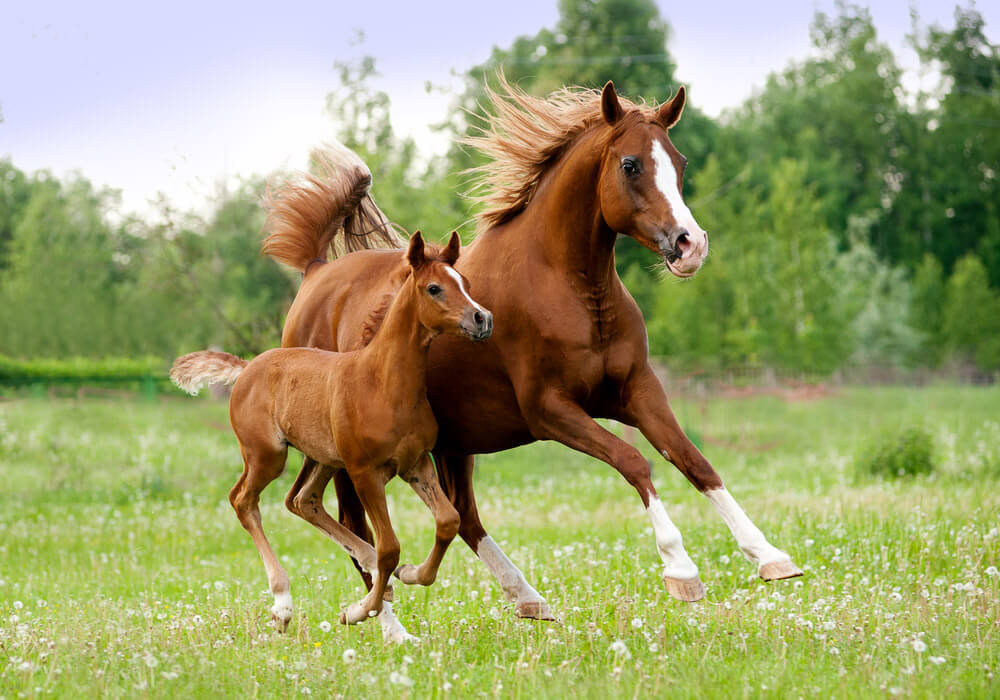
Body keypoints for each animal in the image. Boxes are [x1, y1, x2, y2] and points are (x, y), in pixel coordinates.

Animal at [172, 232, 492, 632]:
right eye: (434, 288)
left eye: (465, 283)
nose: (482, 318)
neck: (383, 383)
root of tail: (247, 368)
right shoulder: (364, 472)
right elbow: (390, 547)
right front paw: (358, 610)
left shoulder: (416, 464)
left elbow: (447, 522)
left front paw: (411, 573)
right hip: (268, 456)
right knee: (243, 500)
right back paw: (283, 603)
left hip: (323, 457)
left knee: (302, 500)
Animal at [266, 79, 804, 636]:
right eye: (630, 164)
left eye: (679, 162)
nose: (689, 244)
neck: (568, 287)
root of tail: (314, 273)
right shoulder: (550, 410)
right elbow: (634, 462)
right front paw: (681, 569)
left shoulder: (637, 391)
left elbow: (695, 461)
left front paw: (770, 556)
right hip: (350, 455)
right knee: (357, 526)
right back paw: (391, 627)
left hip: (454, 442)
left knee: (462, 517)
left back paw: (525, 597)